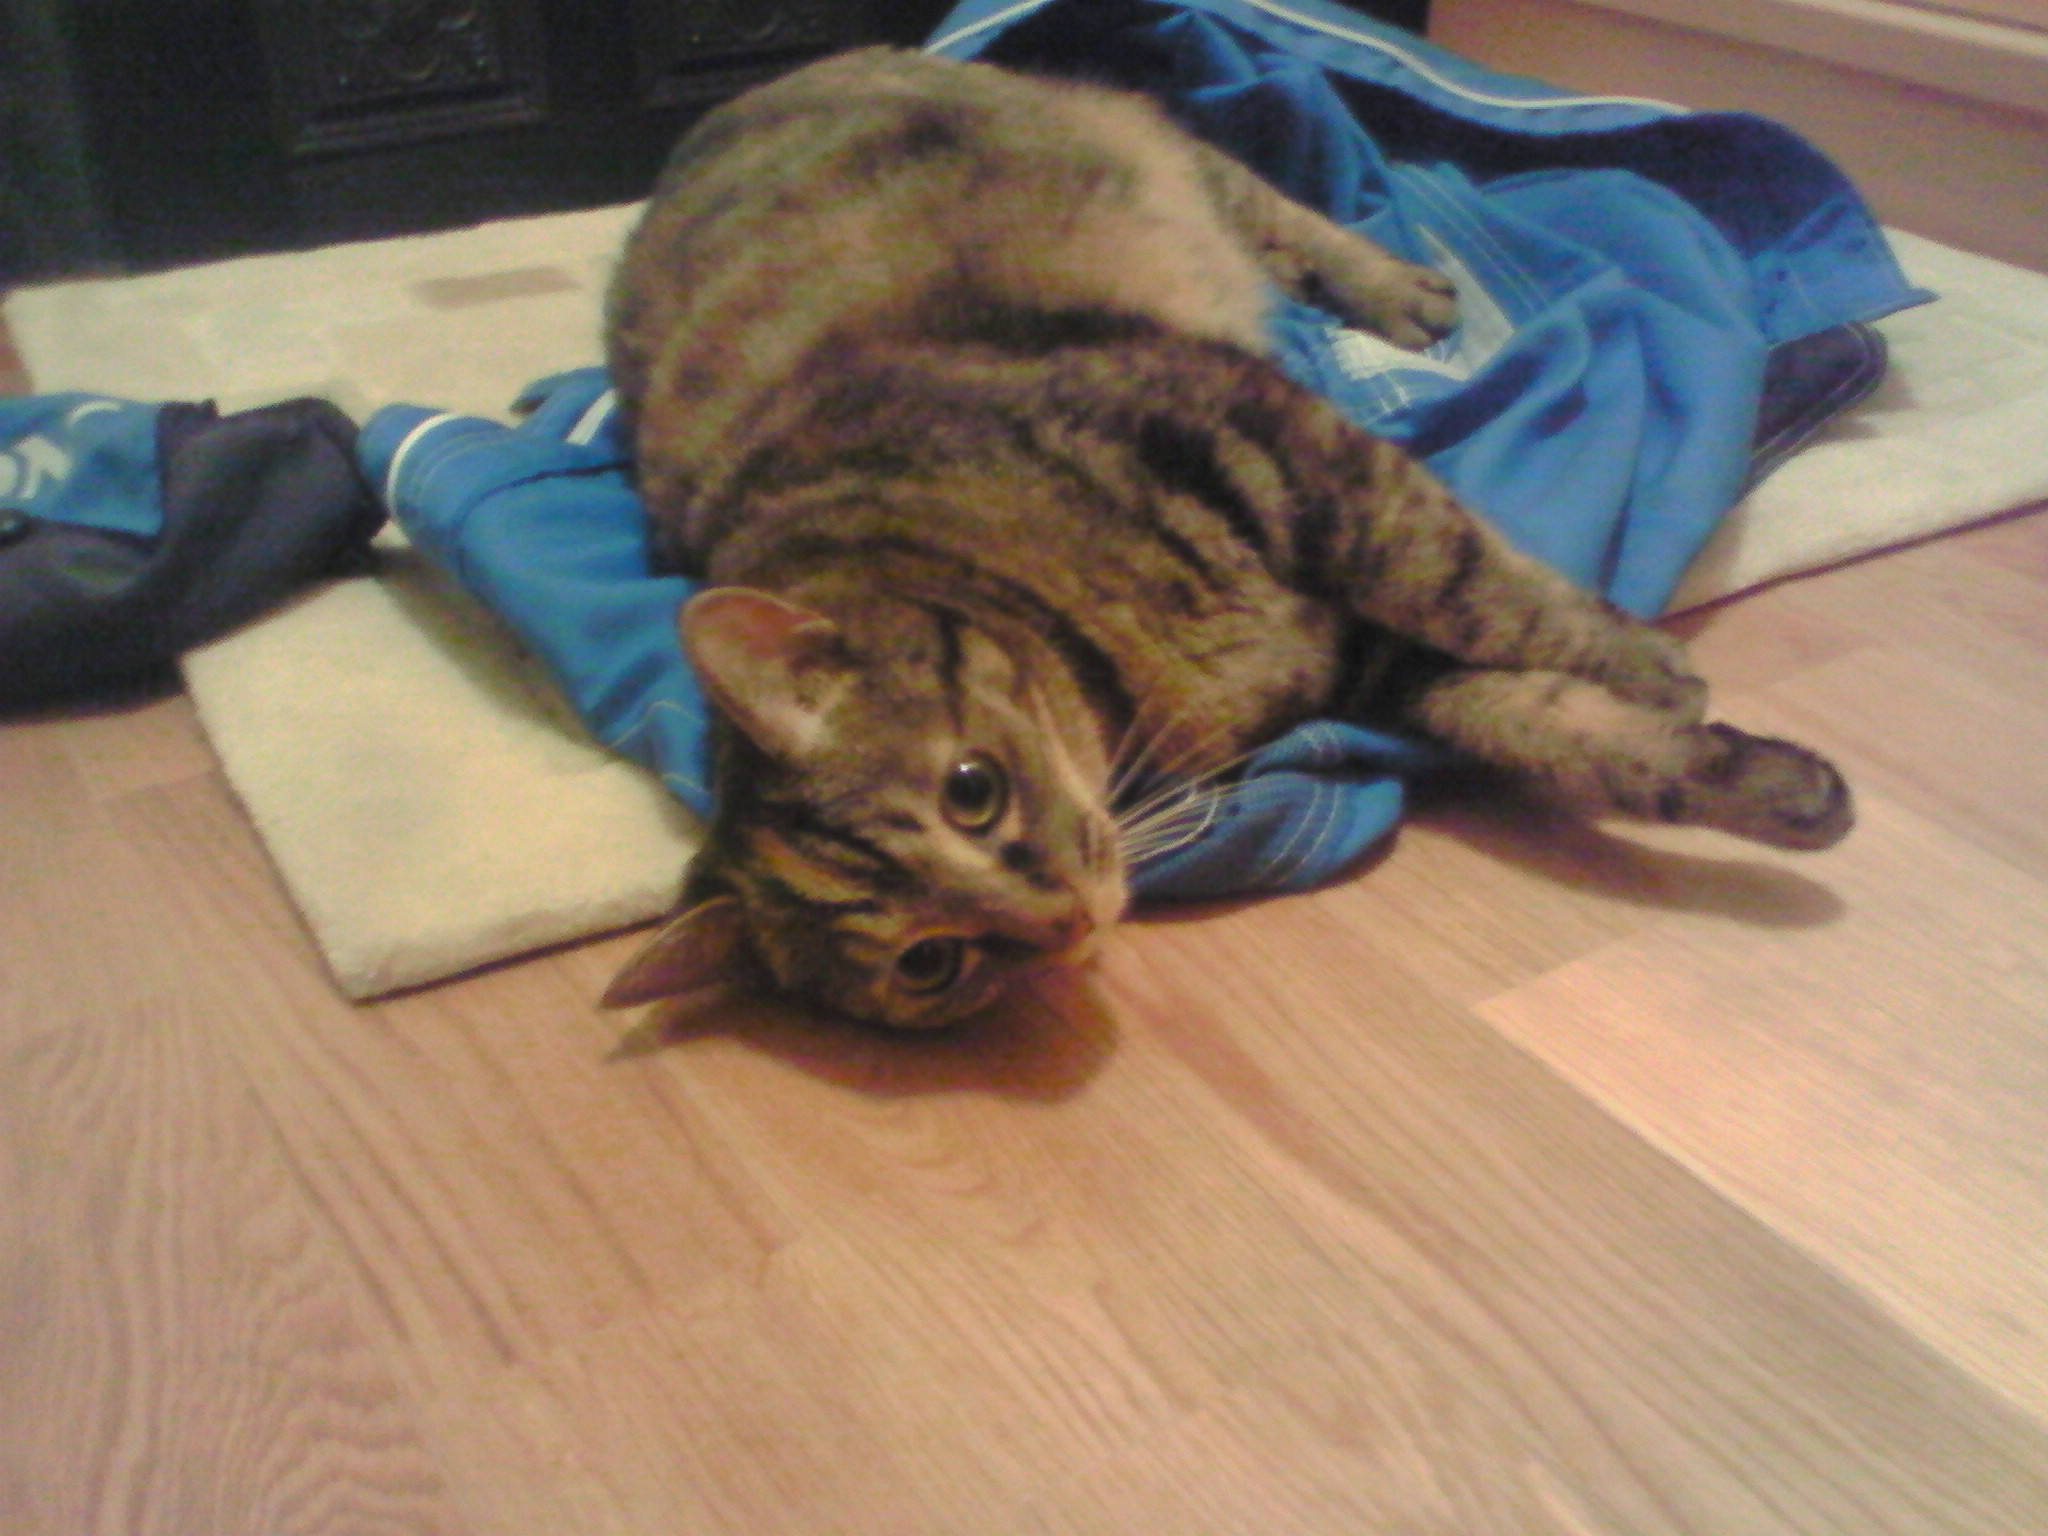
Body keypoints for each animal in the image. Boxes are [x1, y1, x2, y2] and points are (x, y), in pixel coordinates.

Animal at [599, 46, 1851, 1029]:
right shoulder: (1362, 665)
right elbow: (1533, 718)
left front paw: (1648, 665)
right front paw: (1765, 784)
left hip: (1147, 146)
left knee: (1256, 196)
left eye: (970, 791)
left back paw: (1392, 287)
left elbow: (1470, 583)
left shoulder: (1269, 445)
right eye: (928, 964)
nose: (1063, 919)